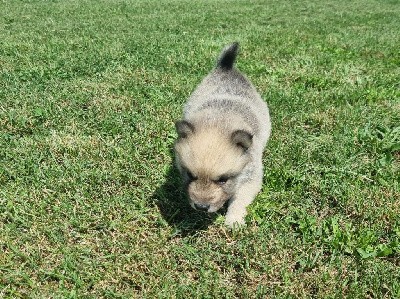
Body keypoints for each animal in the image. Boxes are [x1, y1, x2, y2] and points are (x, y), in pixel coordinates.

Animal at [173, 42, 270, 227]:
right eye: (190, 175)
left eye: (223, 179)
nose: (201, 207)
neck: (219, 122)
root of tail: (226, 66)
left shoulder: (251, 178)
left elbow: (239, 200)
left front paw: (234, 220)